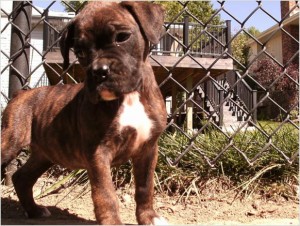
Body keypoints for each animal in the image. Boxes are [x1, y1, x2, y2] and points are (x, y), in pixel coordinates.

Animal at [1, 1, 168, 224]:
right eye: (79, 51)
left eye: (122, 37)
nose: (99, 71)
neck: (128, 96)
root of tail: (21, 93)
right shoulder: (98, 153)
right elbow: (105, 193)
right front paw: (112, 222)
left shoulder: (148, 149)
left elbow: (145, 187)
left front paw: (149, 217)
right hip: (11, 141)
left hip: (45, 154)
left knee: (21, 177)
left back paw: (34, 210)